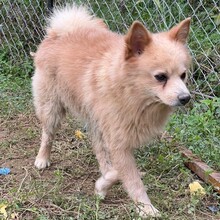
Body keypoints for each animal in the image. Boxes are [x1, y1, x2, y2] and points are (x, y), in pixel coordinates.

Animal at [31, 4, 192, 217]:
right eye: (160, 77)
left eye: (183, 75)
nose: (186, 98)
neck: (129, 92)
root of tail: (59, 32)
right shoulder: (118, 142)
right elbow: (130, 178)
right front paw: (146, 208)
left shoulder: (120, 136)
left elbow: (116, 170)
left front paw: (102, 186)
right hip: (52, 110)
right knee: (47, 134)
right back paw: (42, 158)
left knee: (98, 149)